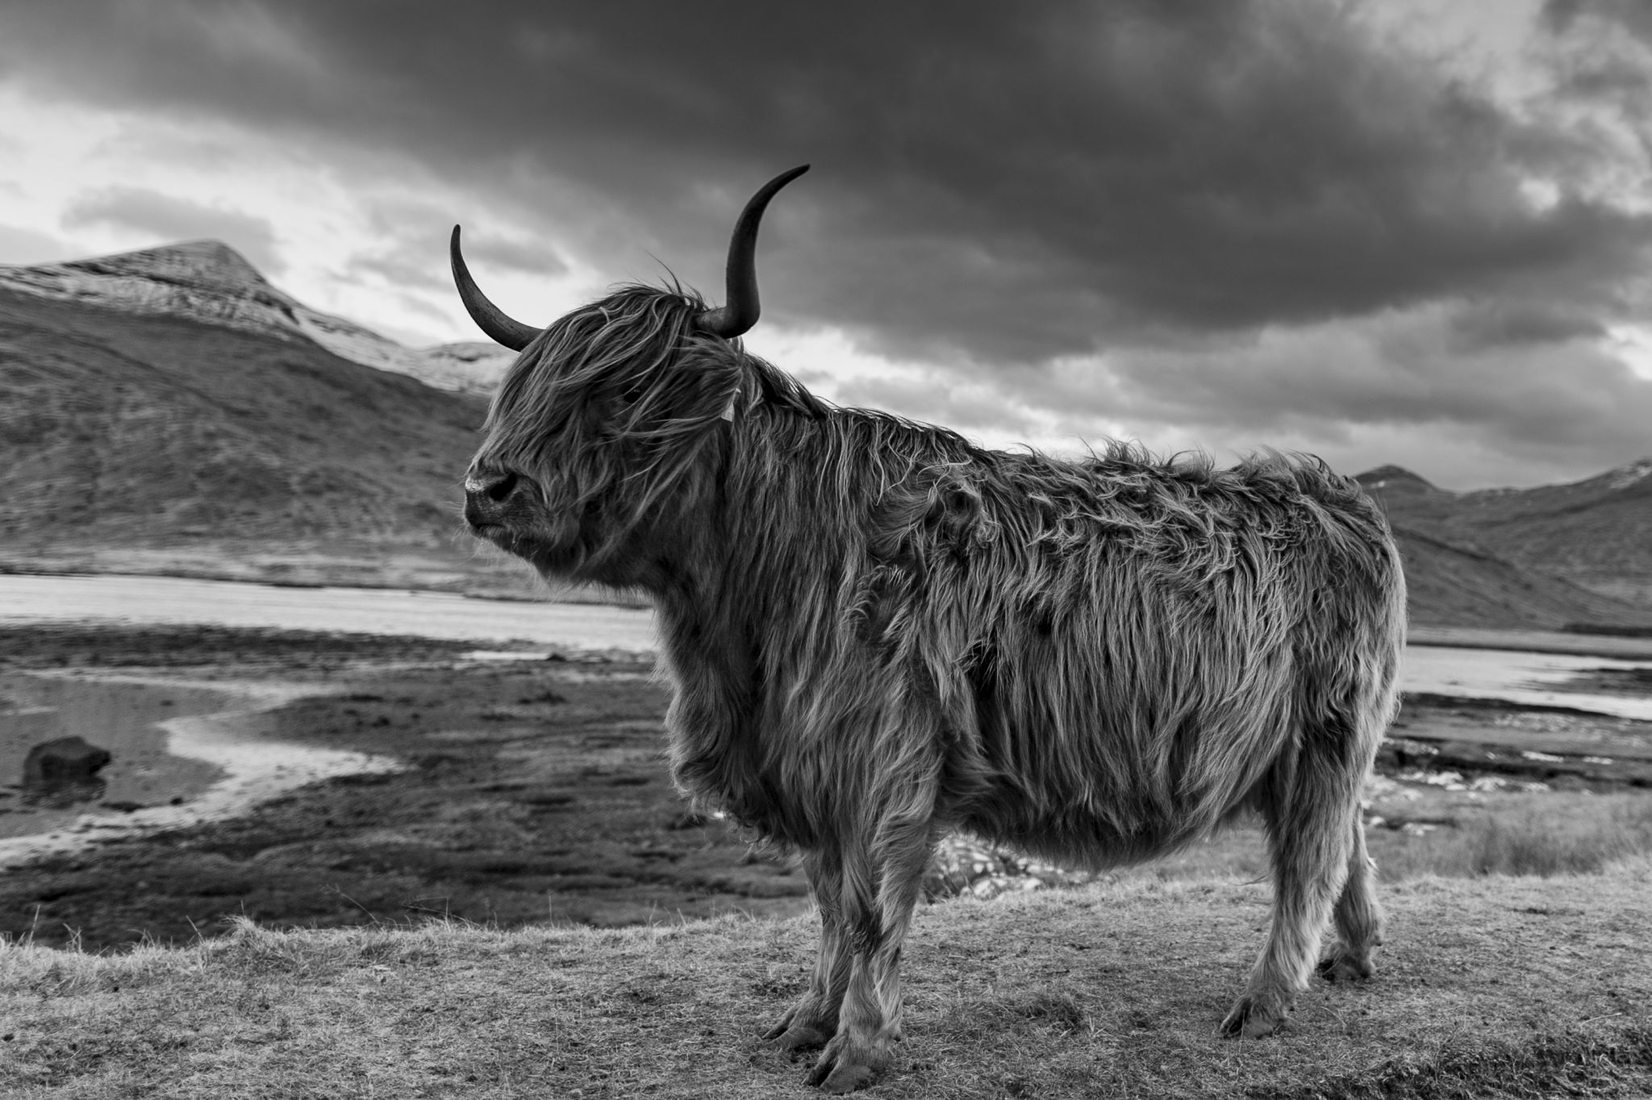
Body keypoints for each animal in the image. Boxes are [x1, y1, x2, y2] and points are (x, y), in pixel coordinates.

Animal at [455, 165, 1407, 1090]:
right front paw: (806, 1023)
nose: (487, 488)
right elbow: (827, 900)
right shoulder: (808, 764)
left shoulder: (883, 759)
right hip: (1311, 749)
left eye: (623, 390)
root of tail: (1340, 500)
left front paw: (858, 1049)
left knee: (1309, 861)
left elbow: (870, 906)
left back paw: (1267, 1002)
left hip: (1324, 735)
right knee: (1348, 841)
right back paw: (1354, 957)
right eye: (522, 388)